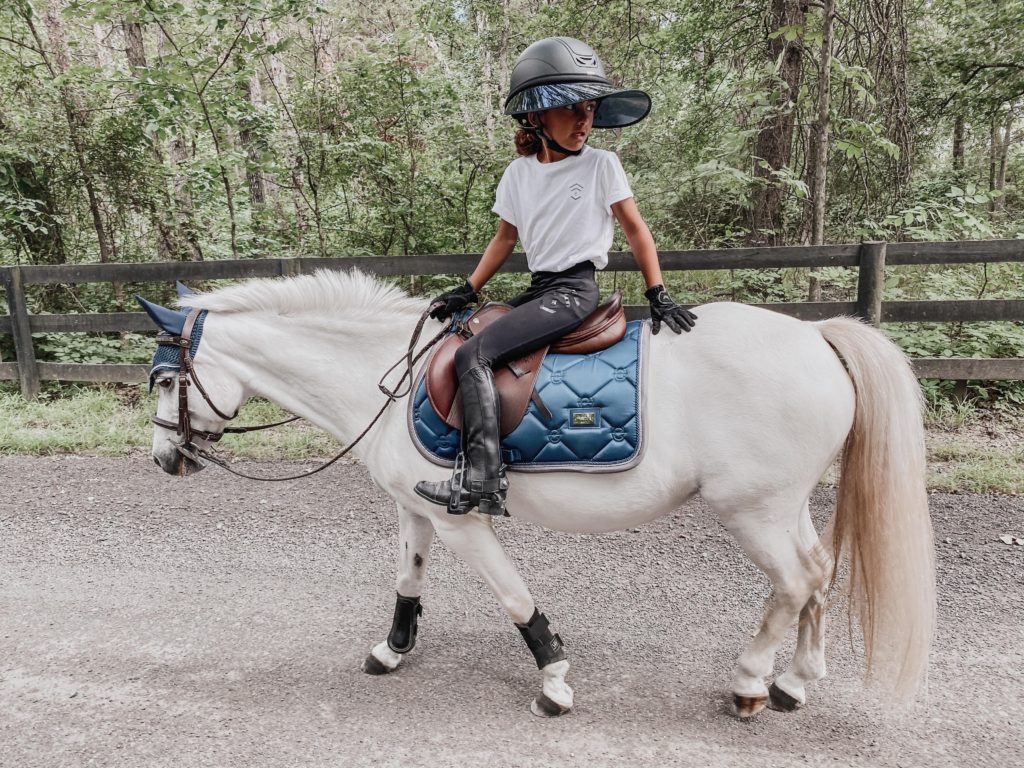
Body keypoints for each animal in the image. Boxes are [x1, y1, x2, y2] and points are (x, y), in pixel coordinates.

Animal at [144, 270, 937, 720]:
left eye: (165, 379)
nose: (163, 459)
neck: (387, 374)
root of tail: (819, 338)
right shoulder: (415, 506)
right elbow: (407, 579)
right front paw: (392, 650)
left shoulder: (461, 521)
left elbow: (513, 597)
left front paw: (553, 679)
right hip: (785, 504)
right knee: (819, 574)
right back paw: (796, 681)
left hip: (754, 511)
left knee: (795, 581)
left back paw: (748, 683)